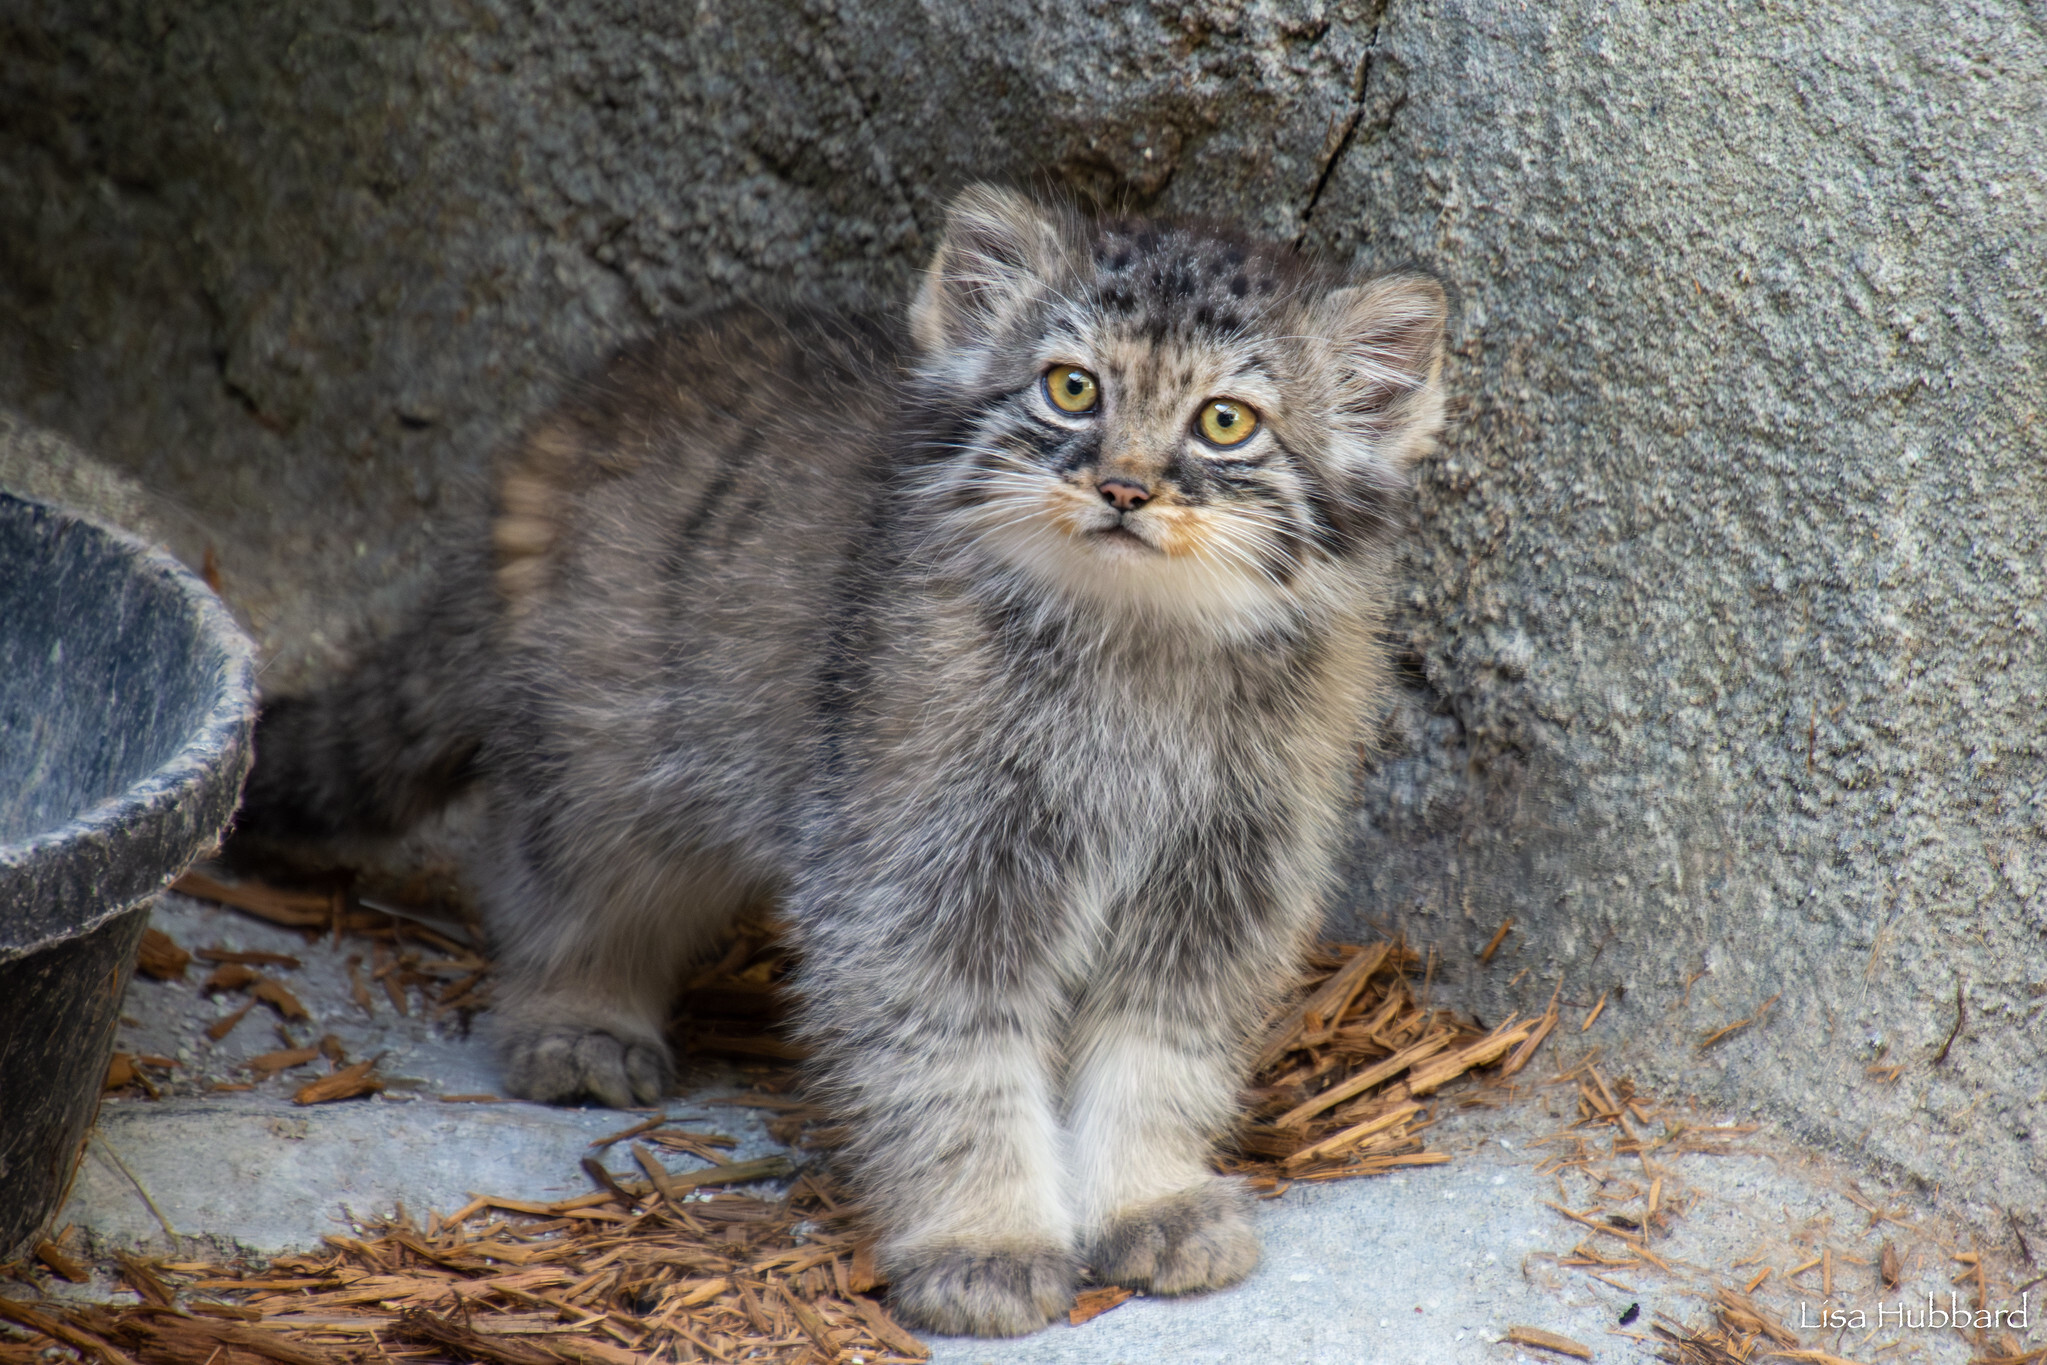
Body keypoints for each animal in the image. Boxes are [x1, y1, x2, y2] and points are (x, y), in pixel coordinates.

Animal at [239, 187, 1449, 1342]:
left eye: (1225, 422)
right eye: (1070, 390)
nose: (1122, 488)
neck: (1136, 653)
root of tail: (561, 426)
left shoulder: (1218, 889)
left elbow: (1157, 1061)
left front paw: (1147, 1199)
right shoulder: (919, 876)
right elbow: (953, 1066)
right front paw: (984, 1238)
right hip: (607, 753)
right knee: (559, 884)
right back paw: (578, 1019)